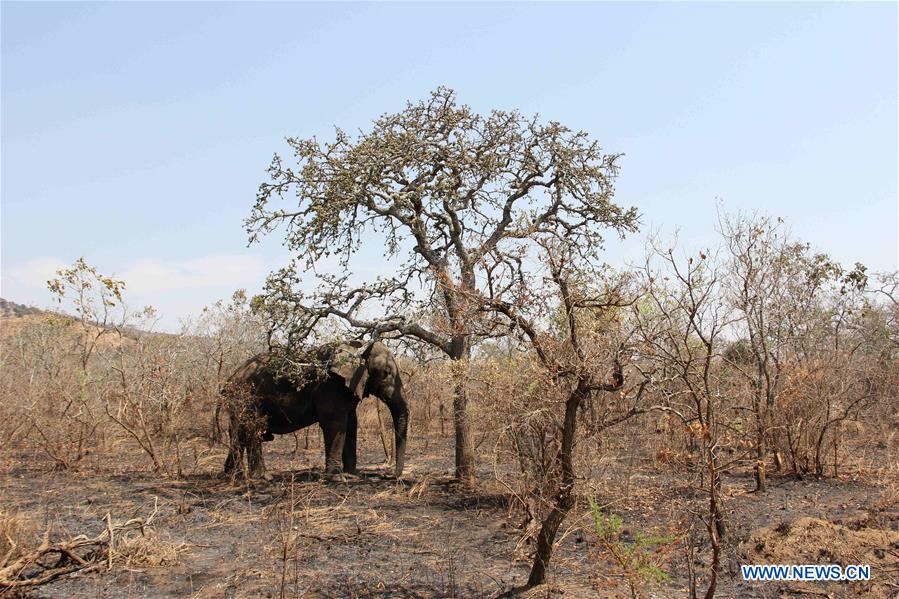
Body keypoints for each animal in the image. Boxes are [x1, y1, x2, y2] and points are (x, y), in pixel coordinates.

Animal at [219, 340, 408, 480]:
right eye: (385, 373)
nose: (390, 476)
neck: (357, 347)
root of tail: (229, 380)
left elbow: (351, 425)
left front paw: (354, 475)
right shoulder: (330, 386)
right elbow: (335, 424)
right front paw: (337, 479)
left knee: (238, 434)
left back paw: (233, 475)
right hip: (248, 398)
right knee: (253, 430)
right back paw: (262, 477)